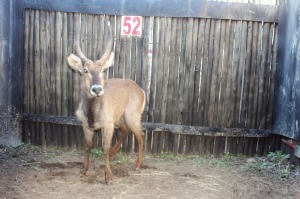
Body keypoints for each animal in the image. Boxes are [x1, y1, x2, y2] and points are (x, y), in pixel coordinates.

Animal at [67, 16, 145, 184]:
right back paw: (114, 155)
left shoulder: (107, 125)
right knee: (126, 131)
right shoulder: (86, 126)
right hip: (120, 118)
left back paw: (137, 165)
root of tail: (139, 89)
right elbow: (88, 146)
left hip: (132, 117)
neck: (92, 111)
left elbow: (104, 147)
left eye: (103, 69)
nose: (96, 89)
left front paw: (108, 175)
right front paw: (84, 170)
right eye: (85, 70)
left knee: (140, 136)